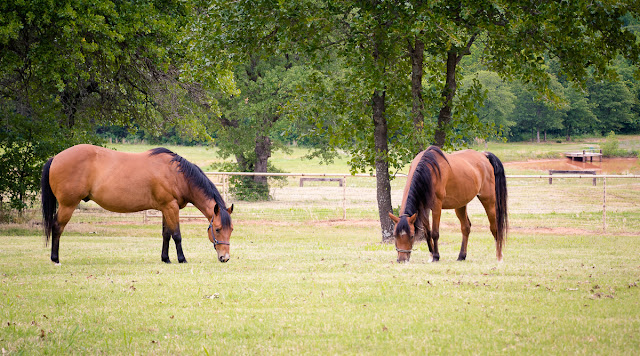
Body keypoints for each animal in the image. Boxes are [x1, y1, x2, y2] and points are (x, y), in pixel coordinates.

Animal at [41, 145, 234, 264]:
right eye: (217, 229)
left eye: (231, 229)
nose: (225, 257)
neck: (177, 174)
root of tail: (55, 158)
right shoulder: (171, 207)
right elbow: (176, 235)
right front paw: (182, 259)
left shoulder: (165, 208)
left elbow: (166, 234)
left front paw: (165, 258)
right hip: (67, 205)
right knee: (57, 227)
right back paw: (55, 259)